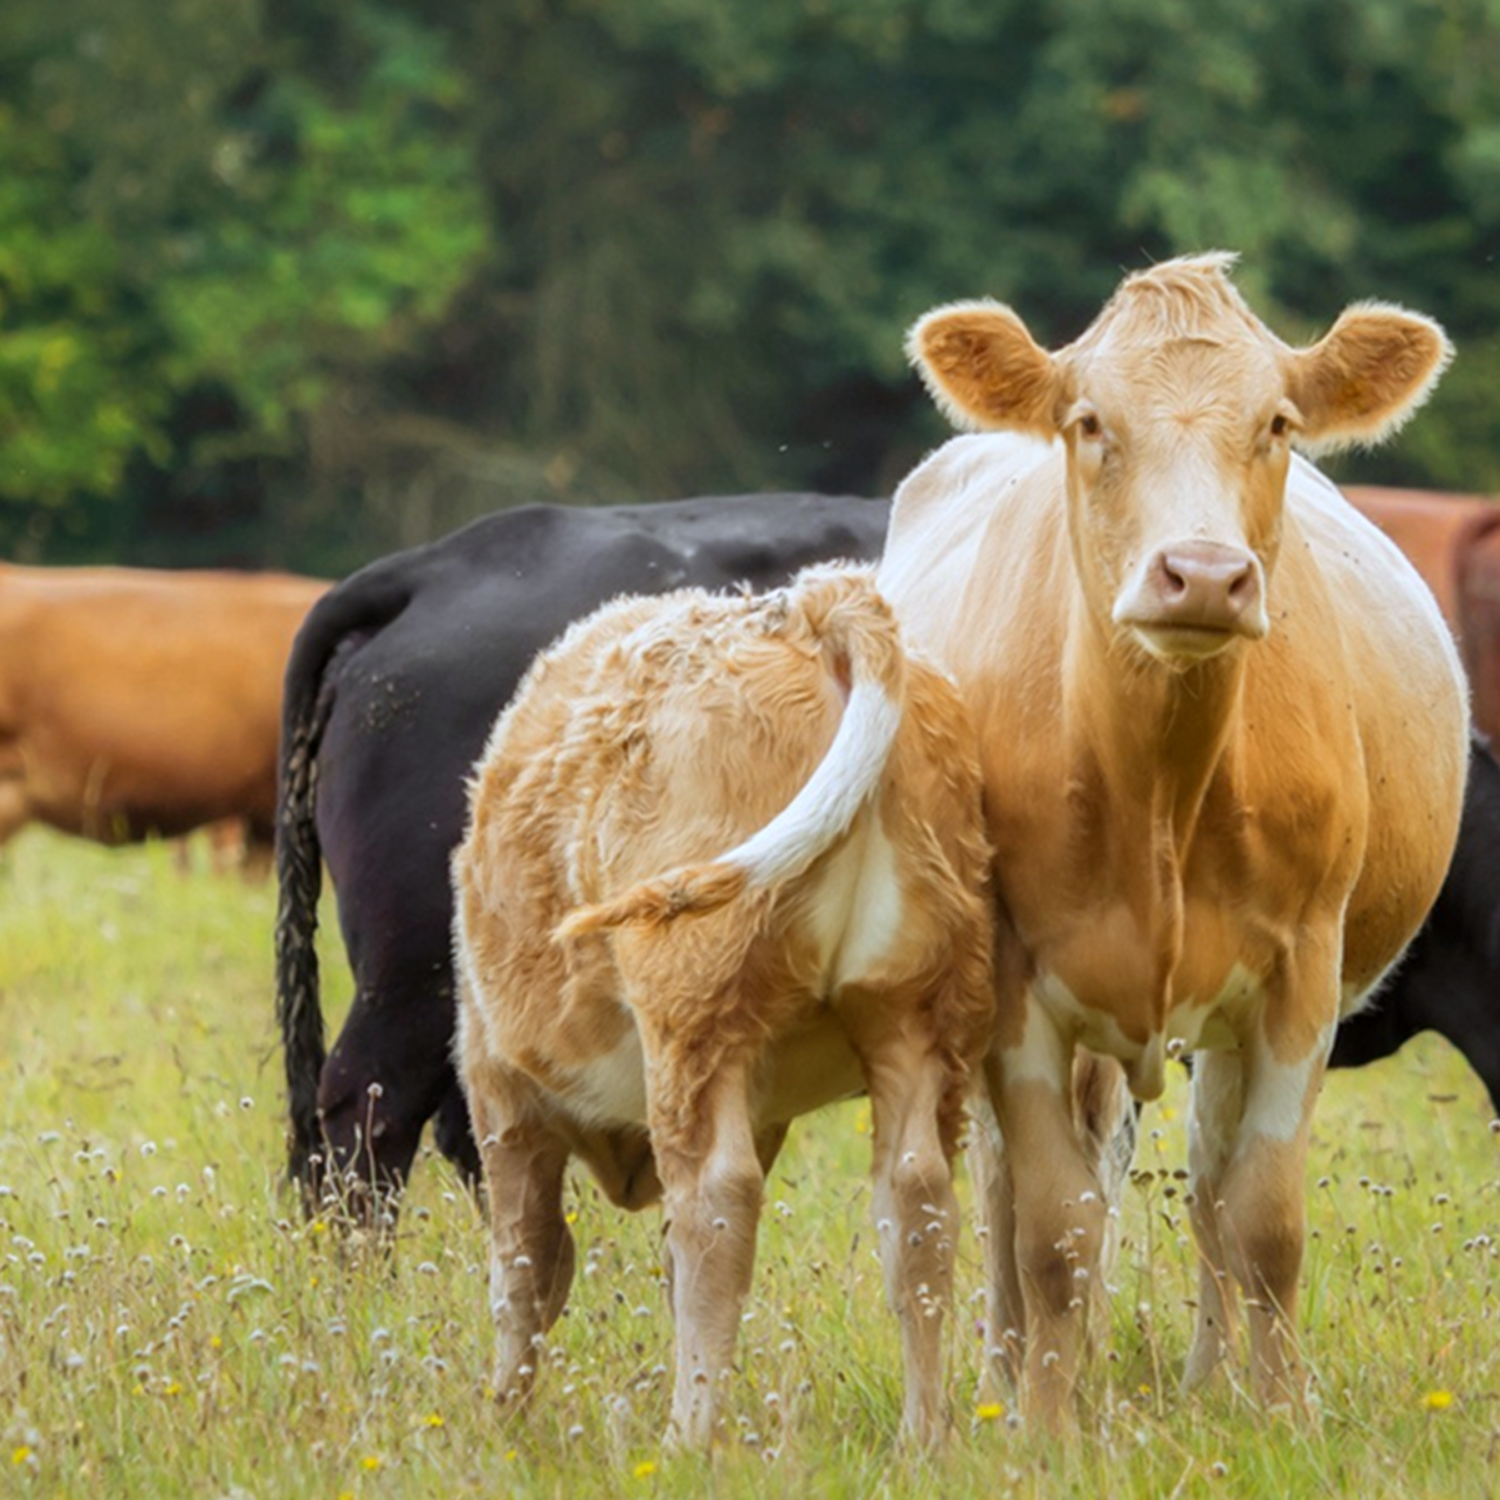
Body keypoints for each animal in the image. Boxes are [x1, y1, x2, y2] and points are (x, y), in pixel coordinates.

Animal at [452, 564, 993, 1448]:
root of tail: (814, 603)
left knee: (716, 1198)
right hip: (919, 1008)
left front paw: (502, 1417)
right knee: (917, 1198)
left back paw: (689, 1435)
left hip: (692, 1005)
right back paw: (925, 1437)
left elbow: (526, 1265)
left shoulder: (500, 1088)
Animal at [876, 253, 1468, 1427]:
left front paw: (1282, 1418)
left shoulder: (1300, 972)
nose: (1200, 573)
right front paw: (1047, 1428)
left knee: (1208, 1189)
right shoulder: (1016, 979)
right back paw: (1012, 1374)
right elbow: (1053, 1227)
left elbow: (1263, 1217)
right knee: (1008, 1193)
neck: (1157, 785)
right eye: (1090, 422)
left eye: (1277, 422)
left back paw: (1207, 1380)